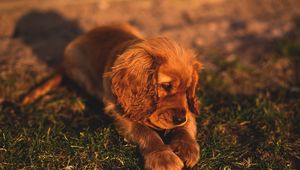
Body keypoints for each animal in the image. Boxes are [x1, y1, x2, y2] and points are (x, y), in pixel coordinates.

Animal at [22, 23, 203, 170]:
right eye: (166, 86)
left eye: (188, 89)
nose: (179, 119)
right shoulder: (120, 112)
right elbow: (146, 132)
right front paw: (163, 157)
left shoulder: (187, 109)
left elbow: (186, 125)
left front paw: (187, 148)